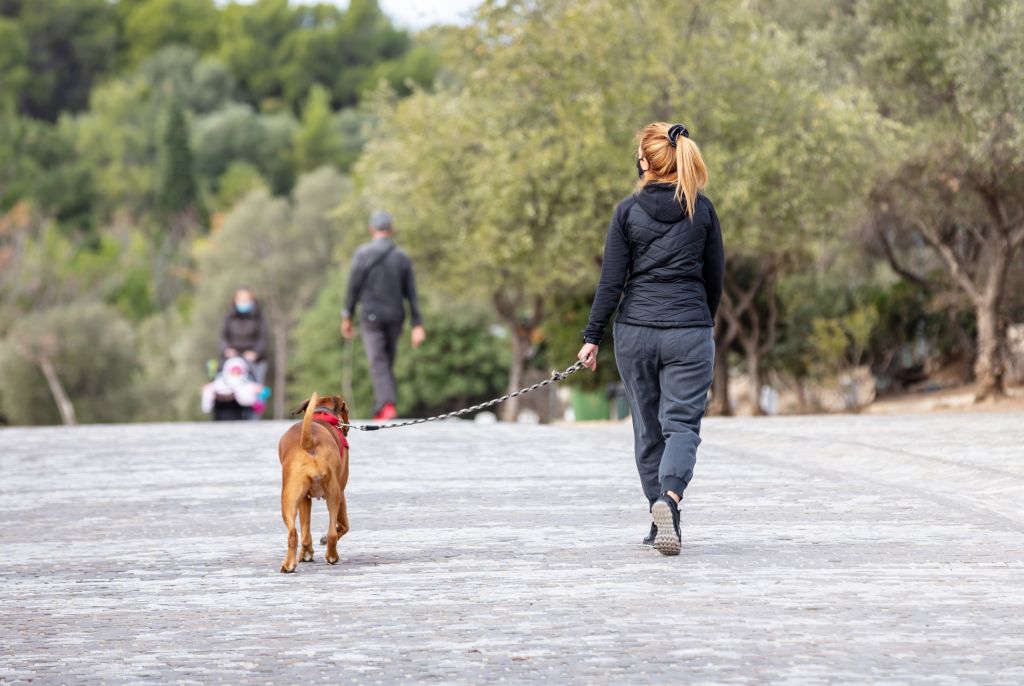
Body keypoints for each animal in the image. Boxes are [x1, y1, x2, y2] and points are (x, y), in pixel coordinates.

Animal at [278, 393, 350, 573]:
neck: (321, 414)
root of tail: (308, 442)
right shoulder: (341, 494)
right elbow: (344, 526)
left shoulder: (305, 499)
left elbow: (306, 531)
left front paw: (306, 554)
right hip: (334, 495)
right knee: (331, 532)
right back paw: (331, 556)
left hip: (290, 500)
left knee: (294, 533)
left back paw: (290, 564)